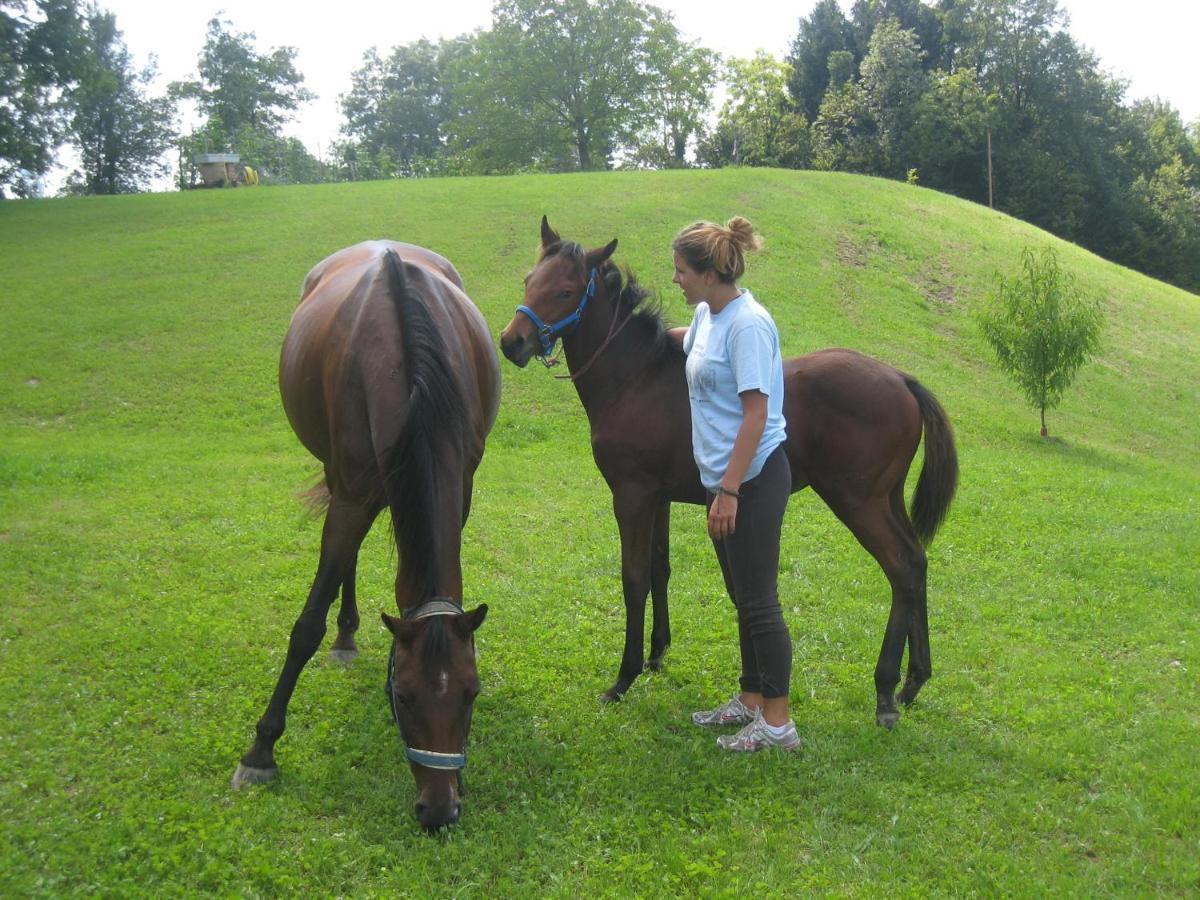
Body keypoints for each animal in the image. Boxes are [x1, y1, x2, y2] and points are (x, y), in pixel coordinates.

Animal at [231, 240, 499, 830]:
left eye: (471, 693)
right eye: (405, 696)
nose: (439, 810)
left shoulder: (460, 487)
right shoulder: (352, 494)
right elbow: (306, 625)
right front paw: (261, 749)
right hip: (341, 475)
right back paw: (345, 633)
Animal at [501, 220, 960, 734]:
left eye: (565, 291)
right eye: (529, 280)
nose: (511, 342)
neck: (636, 378)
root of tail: (901, 378)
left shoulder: (632, 495)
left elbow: (634, 579)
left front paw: (623, 678)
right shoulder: (659, 497)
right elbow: (660, 569)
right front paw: (657, 655)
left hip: (858, 501)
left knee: (901, 568)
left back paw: (884, 690)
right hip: (887, 498)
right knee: (917, 561)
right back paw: (914, 680)